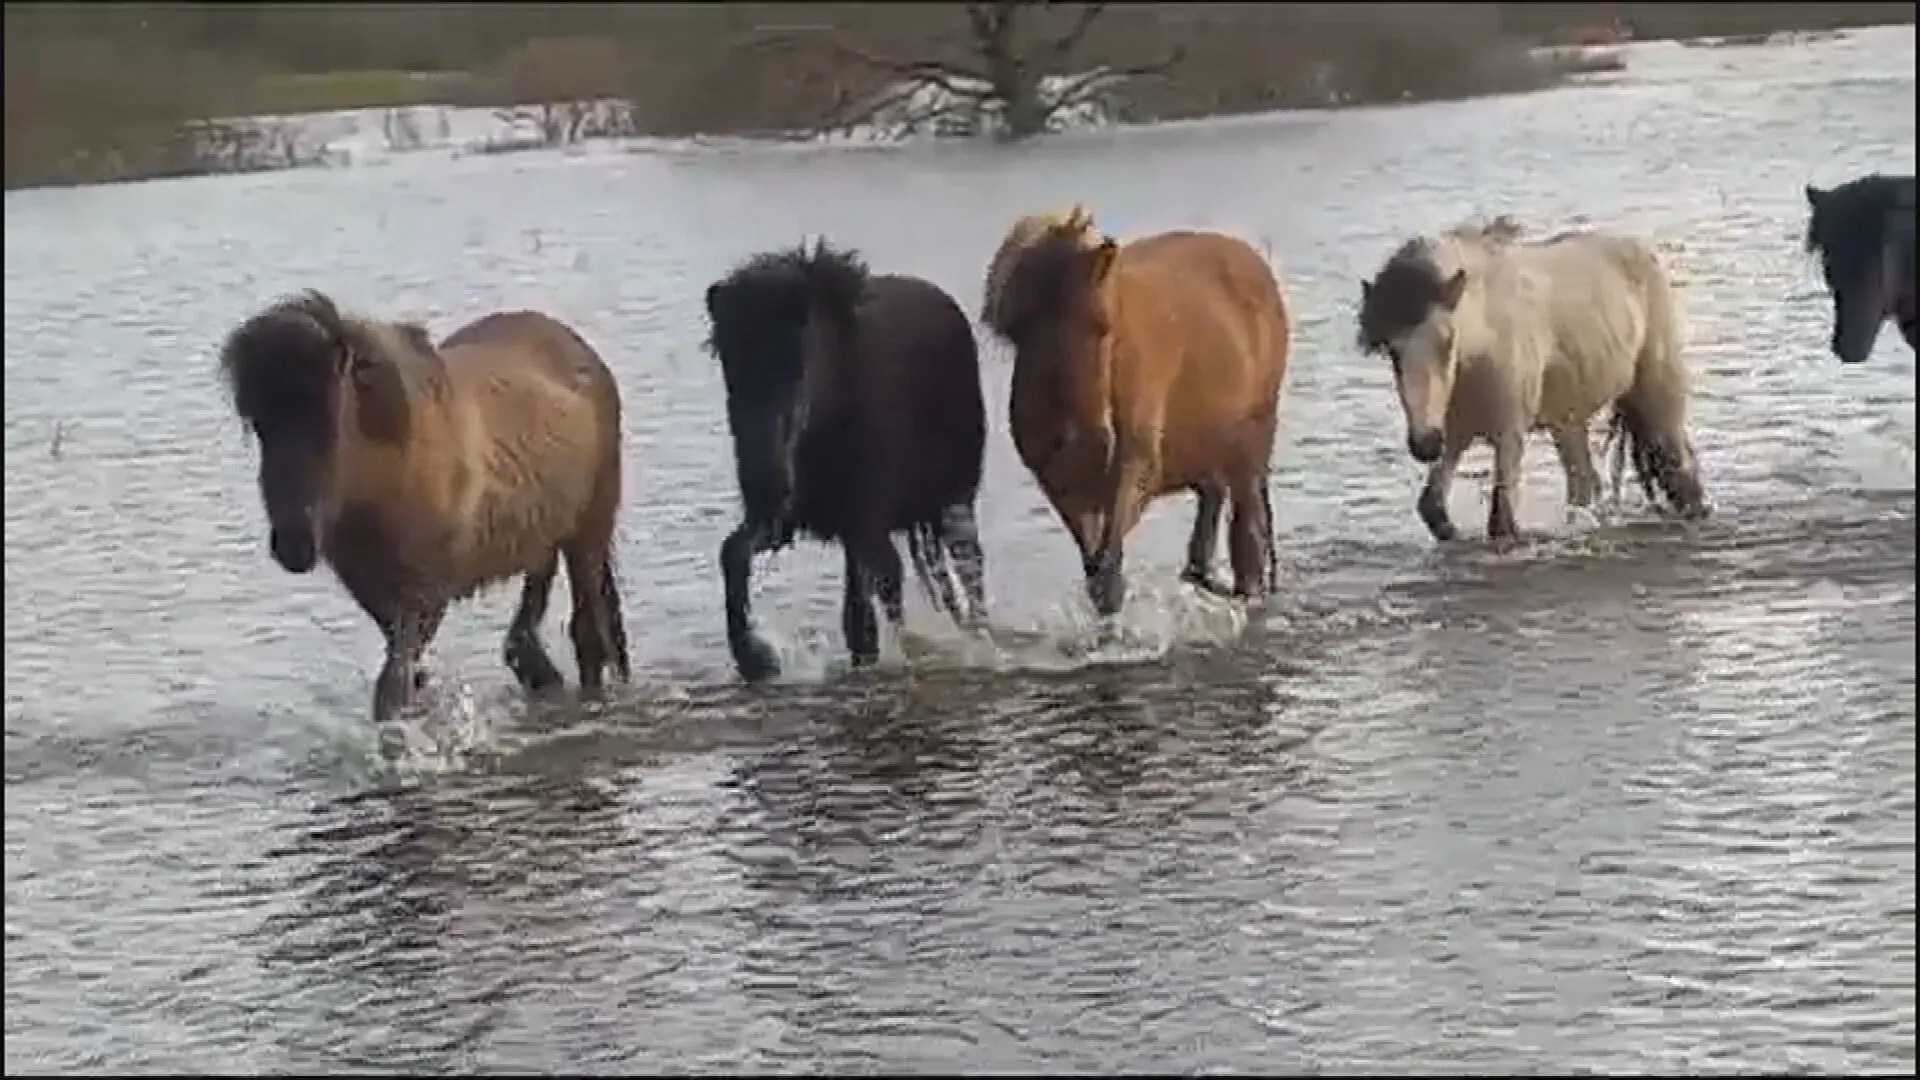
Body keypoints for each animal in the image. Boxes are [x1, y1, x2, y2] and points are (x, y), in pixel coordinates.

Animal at [219, 291, 631, 728]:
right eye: (259, 426)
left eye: (329, 421)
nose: (293, 545)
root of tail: (581, 352)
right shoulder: (379, 597)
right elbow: (409, 680)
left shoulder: (424, 594)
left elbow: (394, 686)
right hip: (544, 535)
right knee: (529, 627)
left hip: (589, 532)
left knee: (588, 633)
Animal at [706, 239, 988, 683]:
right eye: (730, 370)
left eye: (799, 368)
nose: (766, 487)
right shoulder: (789, 521)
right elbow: (732, 554)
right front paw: (756, 658)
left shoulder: (862, 521)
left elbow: (867, 612)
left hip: (955, 502)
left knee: (969, 576)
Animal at [984, 207, 1290, 618]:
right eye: (1024, 330)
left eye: (1104, 327)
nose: (1089, 442)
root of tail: (1250, 258)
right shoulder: (1062, 489)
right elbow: (1097, 573)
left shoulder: (1135, 469)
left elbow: (1109, 571)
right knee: (1210, 513)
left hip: (1251, 441)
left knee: (1247, 535)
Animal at [1357, 219, 1708, 545]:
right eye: (1392, 351)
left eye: (1447, 341)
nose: (1425, 443)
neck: (1485, 340)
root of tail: (1644, 250)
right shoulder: (1456, 433)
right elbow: (1432, 508)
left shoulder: (1509, 432)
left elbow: (1501, 520)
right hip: (1567, 420)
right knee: (1584, 483)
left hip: (1658, 392)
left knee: (1680, 467)